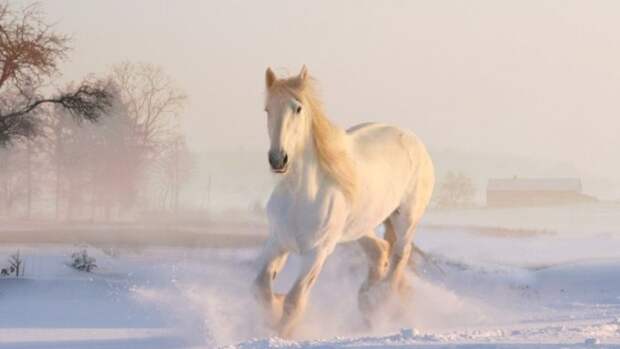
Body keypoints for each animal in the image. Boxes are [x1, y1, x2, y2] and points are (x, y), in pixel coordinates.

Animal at [253, 66, 436, 338]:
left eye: (298, 108)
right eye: (267, 109)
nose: (278, 159)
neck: (300, 196)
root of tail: (413, 140)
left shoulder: (317, 252)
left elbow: (294, 301)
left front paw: (282, 332)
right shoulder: (277, 242)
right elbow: (261, 289)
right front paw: (273, 309)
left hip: (406, 219)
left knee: (399, 255)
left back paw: (380, 300)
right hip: (360, 227)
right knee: (380, 250)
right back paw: (367, 302)